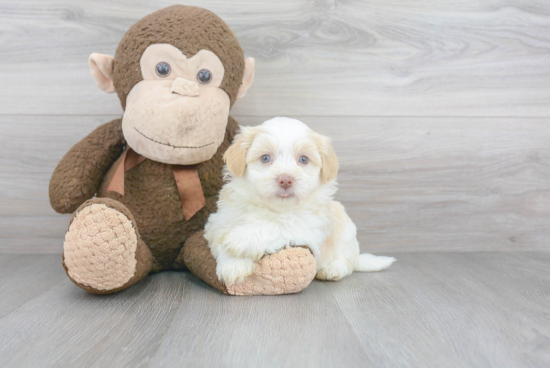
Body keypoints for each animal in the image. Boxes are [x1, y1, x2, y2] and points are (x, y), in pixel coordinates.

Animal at [205, 117, 394, 284]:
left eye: (303, 159)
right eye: (265, 158)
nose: (285, 180)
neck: (275, 209)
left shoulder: (306, 227)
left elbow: (276, 225)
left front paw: (241, 239)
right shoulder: (219, 222)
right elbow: (221, 238)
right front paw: (233, 266)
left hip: (346, 235)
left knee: (347, 262)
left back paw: (332, 269)